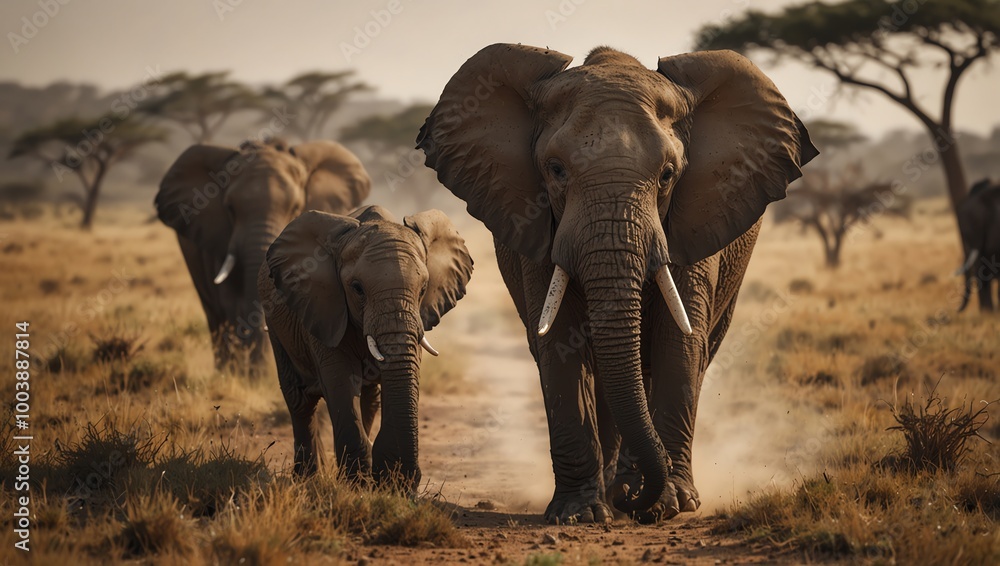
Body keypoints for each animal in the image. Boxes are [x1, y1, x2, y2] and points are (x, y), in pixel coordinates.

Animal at [156, 138, 371, 373]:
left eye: (296, 207)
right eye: (230, 208)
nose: (259, 368)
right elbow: (229, 301)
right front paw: (245, 374)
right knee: (214, 314)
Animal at [257, 205, 473, 487]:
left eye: (424, 288)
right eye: (357, 288)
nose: (406, 481)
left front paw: (391, 484)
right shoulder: (325, 306)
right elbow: (339, 380)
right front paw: (356, 485)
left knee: (370, 398)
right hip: (274, 321)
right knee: (300, 400)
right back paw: (306, 479)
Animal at [417, 44, 817, 523]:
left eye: (667, 174)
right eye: (555, 170)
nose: (632, 498)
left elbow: (677, 339)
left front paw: (665, 506)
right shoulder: (537, 223)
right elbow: (559, 342)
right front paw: (579, 513)